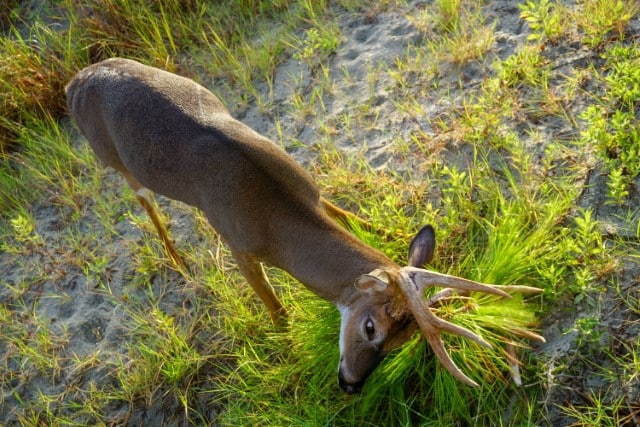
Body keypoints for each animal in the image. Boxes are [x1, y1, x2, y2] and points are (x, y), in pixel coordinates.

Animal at [66, 58, 544, 396]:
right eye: (371, 328)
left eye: (400, 342)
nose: (350, 385)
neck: (279, 217)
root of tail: (75, 81)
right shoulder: (238, 242)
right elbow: (274, 307)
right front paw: (287, 349)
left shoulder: (310, 188)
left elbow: (340, 208)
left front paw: (388, 232)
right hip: (114, 160)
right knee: (143, 201)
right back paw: (178, 261)